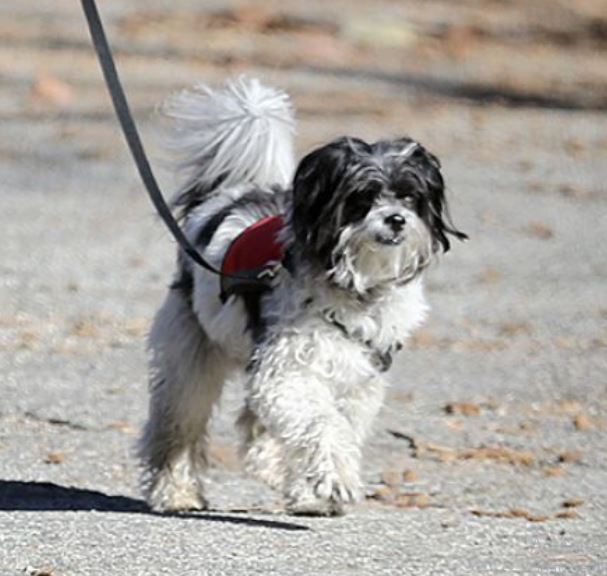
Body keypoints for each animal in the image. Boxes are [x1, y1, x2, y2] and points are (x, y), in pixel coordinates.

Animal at [138, 77, 468, 516]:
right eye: (363, 197)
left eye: (409, 197)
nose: (396, 220)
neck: (354, 287)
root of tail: (227, 195)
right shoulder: (288, 374)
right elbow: (323, 425)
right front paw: (337, 480)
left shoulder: (357, 383)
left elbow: (336, 428)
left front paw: (313, 491)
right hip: (190, 357)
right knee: (179, 424)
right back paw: (176, 492)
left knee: (253, 423)